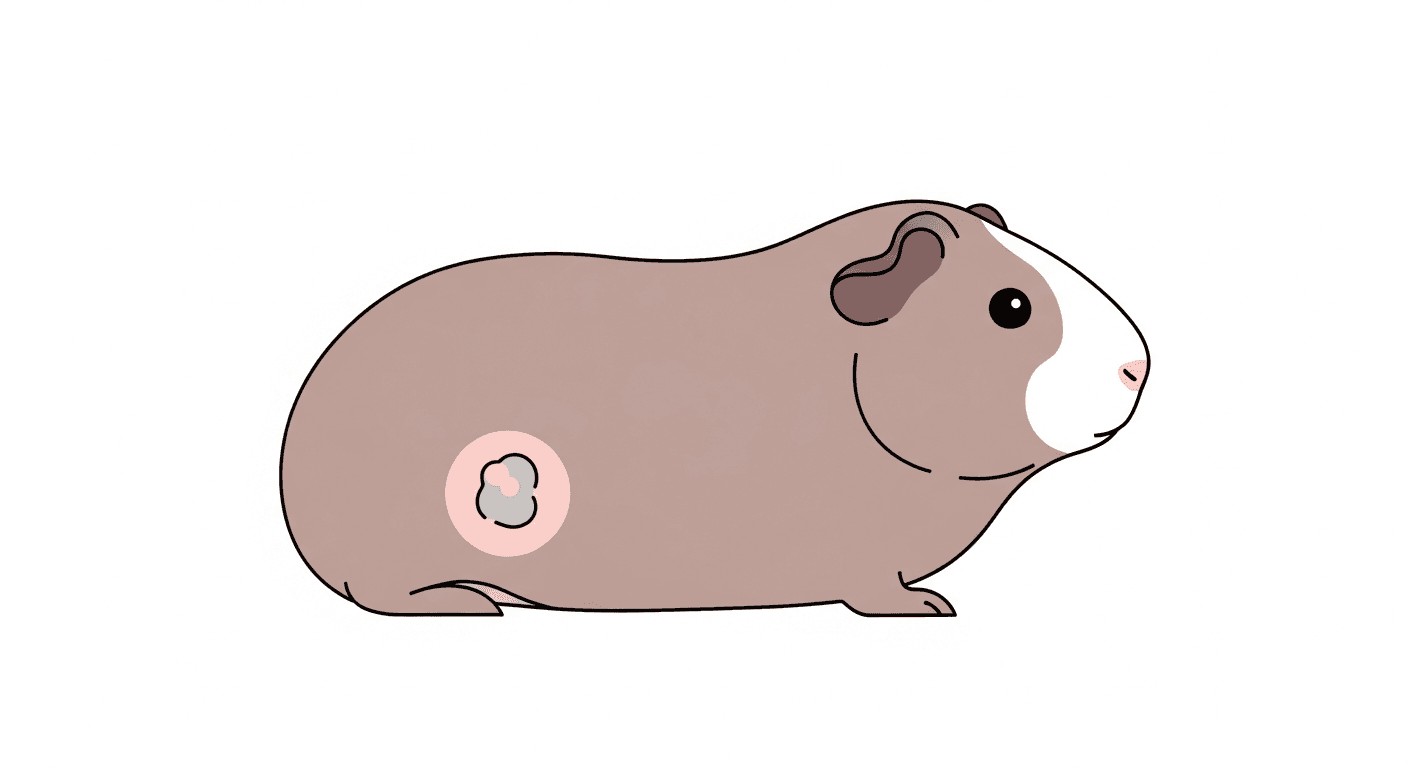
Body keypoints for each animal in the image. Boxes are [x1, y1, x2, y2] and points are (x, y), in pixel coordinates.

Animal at [279, 200, 1149, 616]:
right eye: (1011, 307)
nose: (1138, 366)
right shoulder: (862, 561)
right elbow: (879, 591)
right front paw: (929, 610)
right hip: (396, 564)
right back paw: (470, 607)